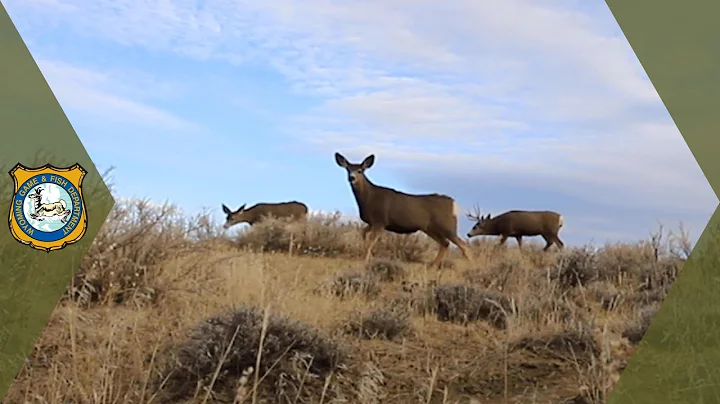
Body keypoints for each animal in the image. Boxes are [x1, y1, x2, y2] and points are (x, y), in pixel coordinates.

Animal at [334, 152, 473, 269]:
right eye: (348, 169)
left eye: (360, 170)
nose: (352, 178)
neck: (369, 198)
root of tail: (454, 204)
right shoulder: (372, 222)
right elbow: (363, 234)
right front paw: (369, 258)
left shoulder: (380, 221)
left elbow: (371, 241)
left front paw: (366, 261)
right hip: (430, 228)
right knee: (445, 243)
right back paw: (432, 265)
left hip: (447, 225)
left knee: (463, 244)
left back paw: (471, 266)